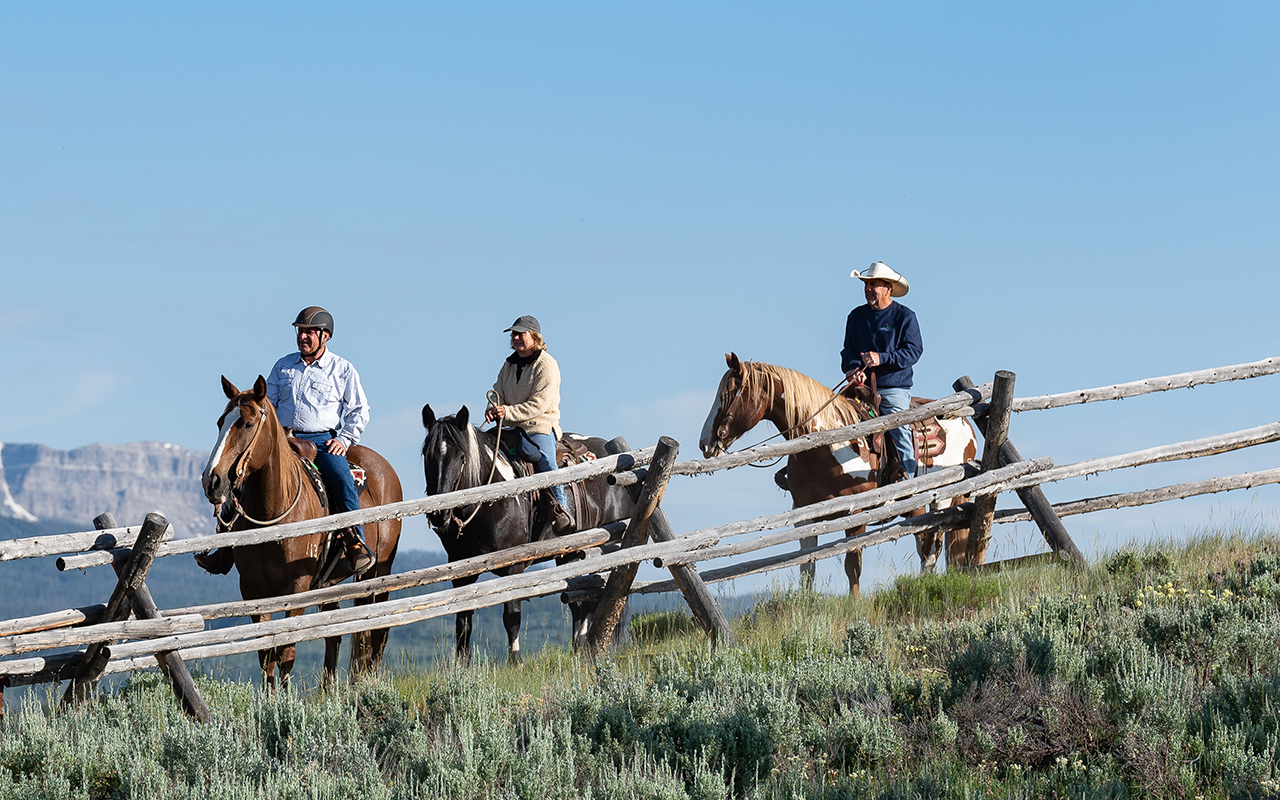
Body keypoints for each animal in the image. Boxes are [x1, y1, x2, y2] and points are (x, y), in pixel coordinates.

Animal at [200, 375, 402, 686]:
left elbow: (286, 651)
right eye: (221, 421)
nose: (212, 481)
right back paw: (328, 691)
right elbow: (265, 655)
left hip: (379, 571)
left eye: (247, 424)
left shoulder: (297, 588)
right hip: (329, 583)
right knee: (334, 635)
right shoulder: (253, 591)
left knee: (376, 631)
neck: (274, 518)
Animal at [421, 404, 636, 663]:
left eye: (462, 457)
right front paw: (462, 666)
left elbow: (511, 615)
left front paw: (515, 661)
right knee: (581, 600)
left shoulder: (513, 566)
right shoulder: (461, 569)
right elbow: (463, 621)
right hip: (572, 554)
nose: (439, 514)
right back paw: (578, 649)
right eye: (427, 455)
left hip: (609, 546)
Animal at [698, 353, 978, 596]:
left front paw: (854, 605)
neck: (825, 445)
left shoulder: (856, 513)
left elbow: (852, 564)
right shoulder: (804, 516)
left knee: (932, 546)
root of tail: (966, 424)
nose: (705, 444)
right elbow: (807, 567)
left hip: (941, 499)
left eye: (729, 394)